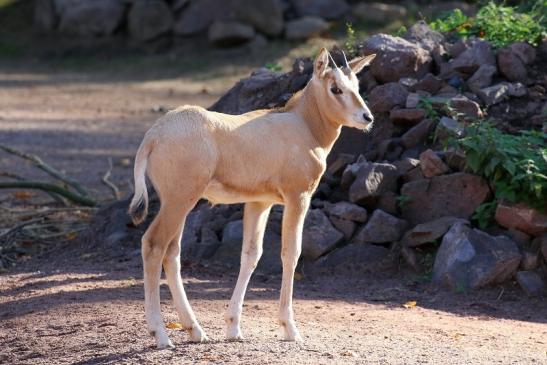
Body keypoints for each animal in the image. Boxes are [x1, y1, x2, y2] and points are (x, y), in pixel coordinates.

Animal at [128, 48, 376, 346]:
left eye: (356, 86)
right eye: (335, 88)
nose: (367, 117)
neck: (303, 124)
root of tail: (154, 135)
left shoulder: (259, 202)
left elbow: (251, 254)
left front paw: (233, 327)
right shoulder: (298, 197)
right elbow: (291, 253)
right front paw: (290, 329)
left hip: (179, 203)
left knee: (172, 252)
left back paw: (196, 330)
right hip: (178, 201)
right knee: (154, 245)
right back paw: (162, 335)